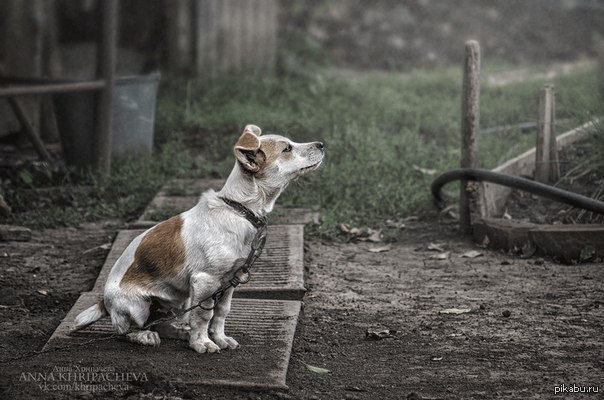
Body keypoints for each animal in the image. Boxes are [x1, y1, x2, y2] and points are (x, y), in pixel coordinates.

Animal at [72, 125, 324, 354]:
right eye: (287, 148)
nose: (322, 144)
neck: (239, 209)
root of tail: (104, 302)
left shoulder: (231, 281)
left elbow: (221, 313)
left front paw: (219, 338)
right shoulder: (206, 281)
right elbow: (204, 315)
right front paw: (202, 342)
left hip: (179, 301)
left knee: (162, 324)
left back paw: (179, 332)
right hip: (139, 306)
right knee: (127, 331)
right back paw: (145, 336)